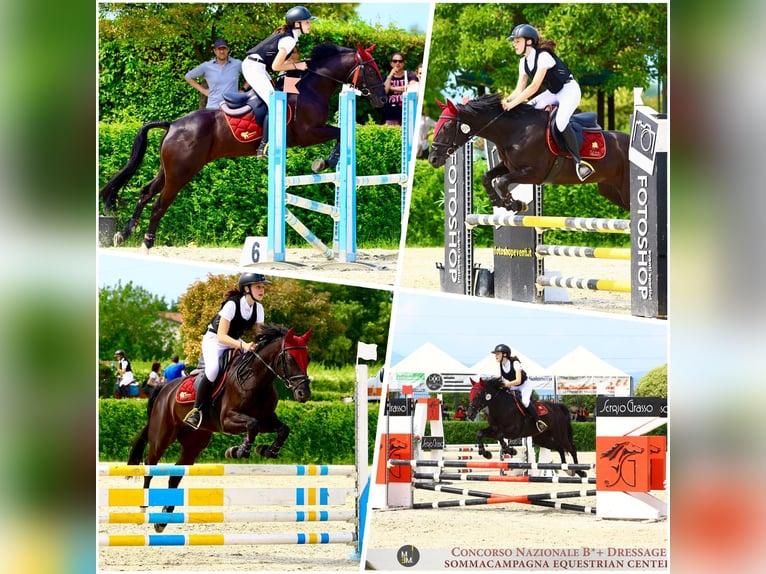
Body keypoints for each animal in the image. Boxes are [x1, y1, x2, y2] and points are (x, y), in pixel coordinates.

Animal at [100, 44, 390, 251]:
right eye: (372, 70)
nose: (382, 99)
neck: (309, 88)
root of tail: (172, 124)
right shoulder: (308, 133)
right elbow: (339, 133)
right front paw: (324, 162)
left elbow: (340, 134)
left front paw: (325, 161)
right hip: (182, 172)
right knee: (159, 203)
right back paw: (147, 241)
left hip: (168, 169)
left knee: (145, 193)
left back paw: (124, 233)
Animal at [129, 326, 312, 532]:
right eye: (290, 358)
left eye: (308, 358)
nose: (304, 394)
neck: (255, 378)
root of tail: (163, 388)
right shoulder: (228, 420)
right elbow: (252, 425)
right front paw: (238, 451)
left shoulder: (267, 419)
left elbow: (283, 429)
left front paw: (266, 450)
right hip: (162, 436)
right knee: (150, 464)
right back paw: (143, 508)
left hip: (195, 442)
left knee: (176, 474)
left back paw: (163, 518)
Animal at [428, 94, 632, 214]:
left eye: (446, 126)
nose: (432, 159)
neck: (514, 130)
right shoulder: (509, 166)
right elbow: (487, 177)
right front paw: (497, 201)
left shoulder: (534, 173)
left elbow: (502, 182)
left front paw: (513, 204)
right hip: (610, 190)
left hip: (624, 191)